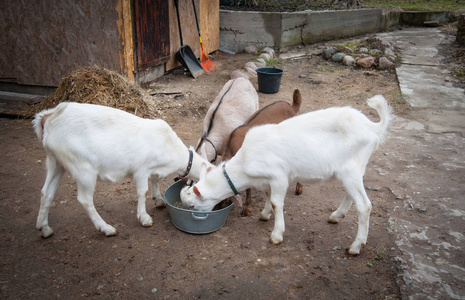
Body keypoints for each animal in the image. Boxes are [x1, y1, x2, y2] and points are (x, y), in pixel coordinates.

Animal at [33, 102, 213, 238]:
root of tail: (50, 118)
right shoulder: (141, 170)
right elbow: (143, 192)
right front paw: (144, 218)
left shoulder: (153, 169)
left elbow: (155, 180)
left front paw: (159, 200)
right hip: (83, 168)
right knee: (85, 199)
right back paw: (106, 228)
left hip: (56, 163)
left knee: (45, 192)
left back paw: (44, 228)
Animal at [181, 95, 392, 254]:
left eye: (192, 205)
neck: (244, 160)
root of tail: (373, 127)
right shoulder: (267, 181)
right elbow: (268, 196)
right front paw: (264, 215)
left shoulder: (279, 177)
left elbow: (277, 202)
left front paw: (276, 235)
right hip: (351, 171)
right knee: (352, 195)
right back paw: (336, 216)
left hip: (351, 170)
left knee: (364, 206)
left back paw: (356, 246)